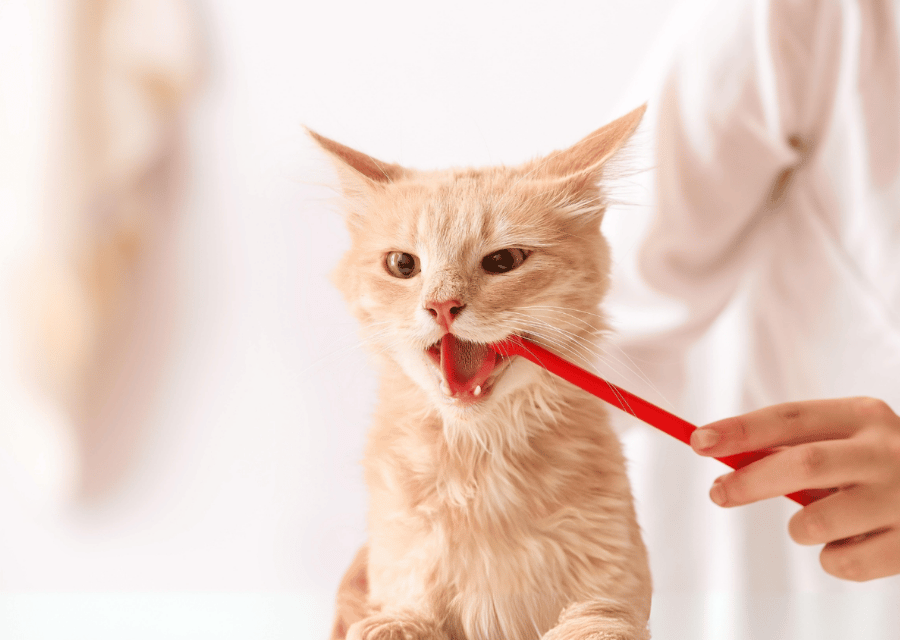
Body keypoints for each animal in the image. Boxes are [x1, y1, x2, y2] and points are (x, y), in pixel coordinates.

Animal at [312, 105, 652, 640]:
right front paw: (397, 624)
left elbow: (598, 622)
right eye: (402, 264)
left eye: (504, 261)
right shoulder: (395, 568)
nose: (442, 305)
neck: (482, 463)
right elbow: (404, 611)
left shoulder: (613, 580)